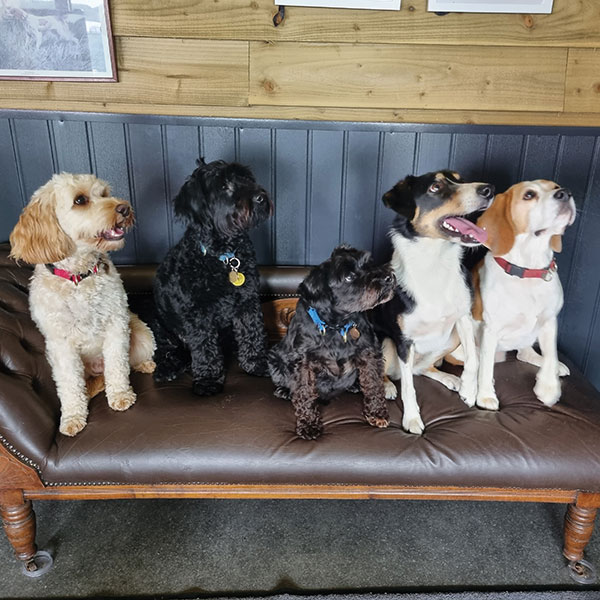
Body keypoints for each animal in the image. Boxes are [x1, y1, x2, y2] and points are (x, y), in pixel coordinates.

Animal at [9, 173, 155, 436]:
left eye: (105, 193)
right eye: (80, 200)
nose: (124, 208)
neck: (79, 277)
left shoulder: (116, 325)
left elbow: (118, 364)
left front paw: (120, 395)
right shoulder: (60, 346)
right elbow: (69, 384)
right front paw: (72, 417)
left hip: (142, 335)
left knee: (129, 362)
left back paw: (145, 365)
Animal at [151, 158, 274, 398]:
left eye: (246, 178)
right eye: (224, 185)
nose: (260, 197)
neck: (224, 258)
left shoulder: (248, 302)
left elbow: (252, 333)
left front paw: (257, 363)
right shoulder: (197, 315)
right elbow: (205, 348)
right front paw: (208, 380)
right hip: (158, 325)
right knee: (167, 351)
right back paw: (168, 368)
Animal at [270, 245, 396, 440]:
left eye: (369, 264)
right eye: (349, 277)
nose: (388, 277)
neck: (337, 326)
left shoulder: (370, 353)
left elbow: (374, 384)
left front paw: (377, 414)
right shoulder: (303, 362)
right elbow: (304, 392)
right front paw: (308, 425)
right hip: (274, 358)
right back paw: (284, 391)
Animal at [372, 171, 494, 434]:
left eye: (460, 178)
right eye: (435, 188)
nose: (489, 189)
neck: (435, 263)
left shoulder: (464, 317)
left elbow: (474, 358)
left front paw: (469, 391)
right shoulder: (403, 340)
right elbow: (409, 388)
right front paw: (411, 420)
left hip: (450, 338)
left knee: (421, 369)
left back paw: (450, 378)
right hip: (384, 341)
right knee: (390, 374)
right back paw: (387, 385)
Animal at [474, 180, 576, 410]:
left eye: (555, 186)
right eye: (529, 195)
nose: (565, 193)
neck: (529, 269)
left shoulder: (550, 321)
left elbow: (551, 353)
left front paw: (549, 387)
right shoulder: (490, 329)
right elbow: (485, 366)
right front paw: (485, 395)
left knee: (525, 353)